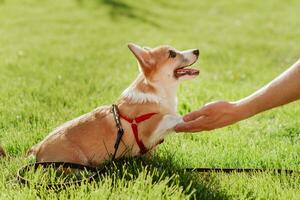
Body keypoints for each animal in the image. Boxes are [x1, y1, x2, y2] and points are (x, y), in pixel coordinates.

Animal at [29, 43, 200, 167]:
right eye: (172, 54)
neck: (157, 90)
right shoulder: (150, 126)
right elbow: (170, 117)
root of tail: (36, 149)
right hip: (74, 160)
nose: (197, 50)